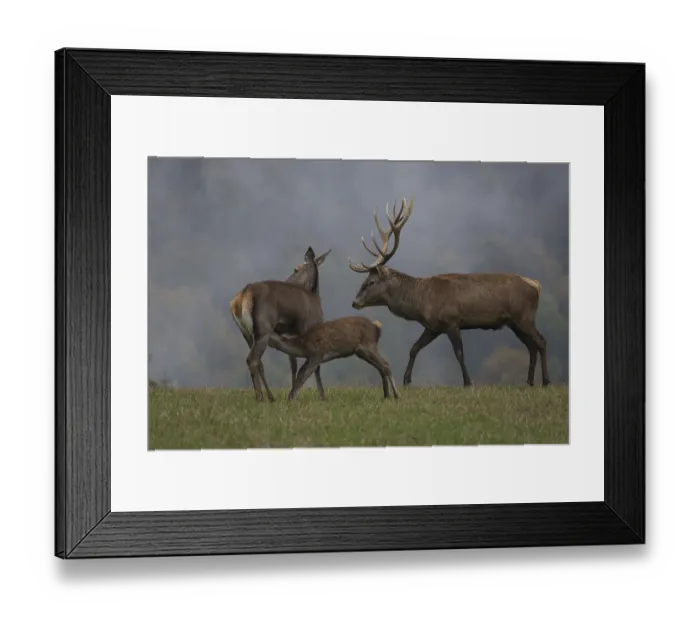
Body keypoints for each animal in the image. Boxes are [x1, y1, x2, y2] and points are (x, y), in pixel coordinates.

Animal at [229, 246, 331, 402]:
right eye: (296, 268)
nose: (287, 280)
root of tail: (239, 300)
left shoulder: (291, 336)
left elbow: (293, 364)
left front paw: (293, 394)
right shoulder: (309, 328)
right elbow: (314, 365)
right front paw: (322, 396)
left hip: (246, 333)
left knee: (259, 362)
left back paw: (271, 396)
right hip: (263, 330)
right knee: (252, 359)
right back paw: (260, 398)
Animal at [347, 197, 551, 387]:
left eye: (371, 282)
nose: (355, 302)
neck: (420, 303)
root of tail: (536, 285)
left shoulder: (452, 321)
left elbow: (459, 353)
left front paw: (468, 382)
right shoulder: (433, 327)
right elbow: (414, 348)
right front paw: (406, 380)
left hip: (524, 316)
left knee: (541, 341)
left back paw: (546, 381)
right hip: (514, 322)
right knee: (531, 346)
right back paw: (529, 381)